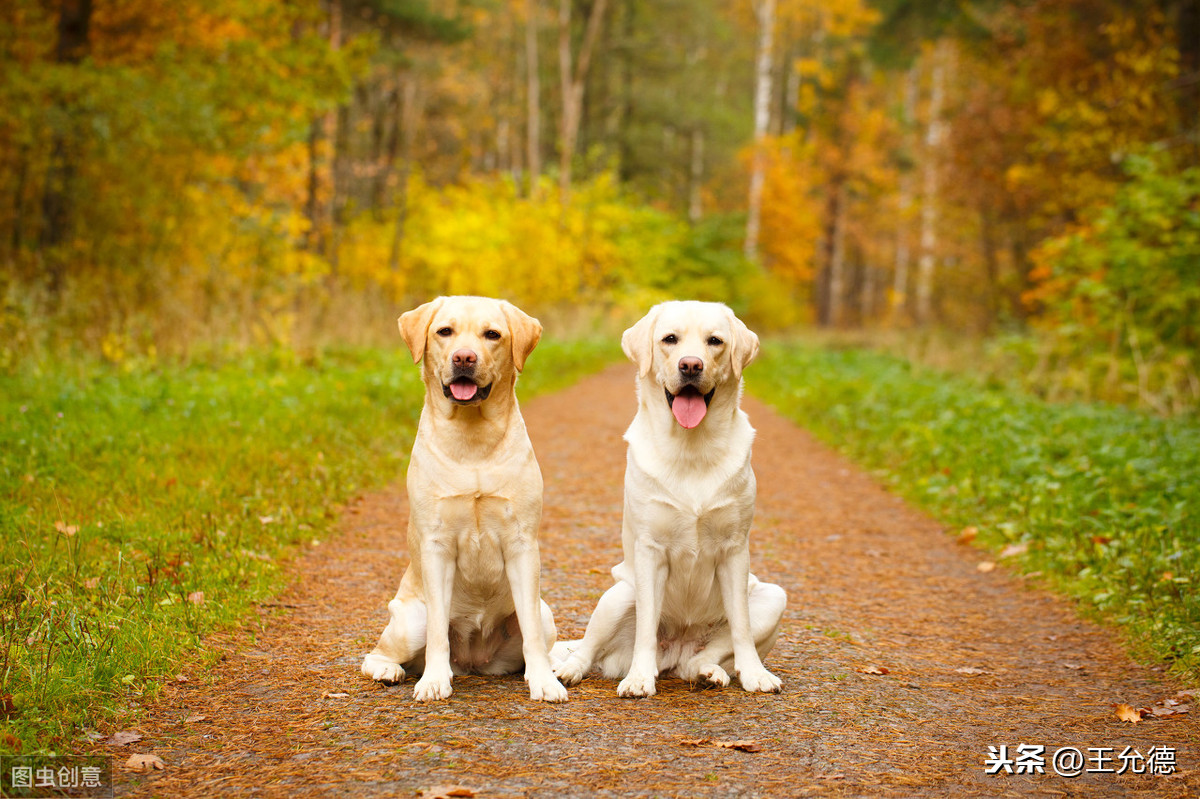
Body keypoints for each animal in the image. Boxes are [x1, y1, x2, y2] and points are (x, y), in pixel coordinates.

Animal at [360, 295, 566, 700]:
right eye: (445, 331)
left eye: (492, 334)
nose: (464, 358)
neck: (473, 441)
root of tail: (473, 660)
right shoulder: (437, 546)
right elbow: (439, 631)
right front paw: (434, 681)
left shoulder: (522, 545)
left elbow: (532, 636)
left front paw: (544, 683)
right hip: (410, 621)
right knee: (376, 654)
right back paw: (390, 671)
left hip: (544, 611)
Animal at [554, 302, 787, 695]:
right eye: (669, 339)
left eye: (715, 341)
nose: (691, 365)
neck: (691, 448)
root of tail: (676, 649)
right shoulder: (650, 551)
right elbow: (646, 628)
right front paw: (638, 679)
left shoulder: (735, 550)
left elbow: (740, 627)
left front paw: (756, 674)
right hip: (618, 595)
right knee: (587, 647)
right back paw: (569, 670)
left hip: (773, 597)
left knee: (699, 659)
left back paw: (710, 673)